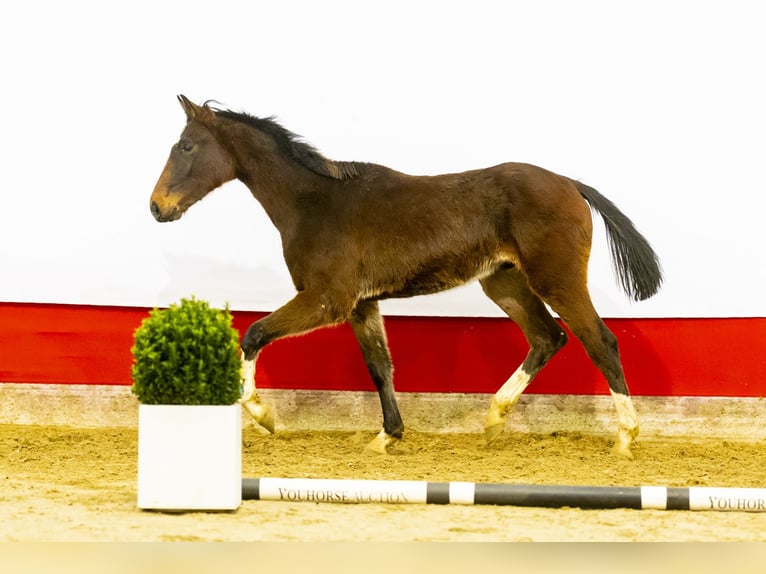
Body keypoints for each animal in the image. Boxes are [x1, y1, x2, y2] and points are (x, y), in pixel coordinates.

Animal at [152, 97, 664, 462]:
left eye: (186, 146)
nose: (157, 206)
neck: (316, 202)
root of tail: (571, 184)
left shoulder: (327, 299)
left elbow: (254, 332)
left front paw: (264, 417)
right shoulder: (362, 303)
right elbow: (380, 365)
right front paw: (386, 437)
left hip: (556, 279)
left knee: (599, 341)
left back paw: (625, 439)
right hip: (504, 283)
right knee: (547, 337)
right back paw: (493, 420)